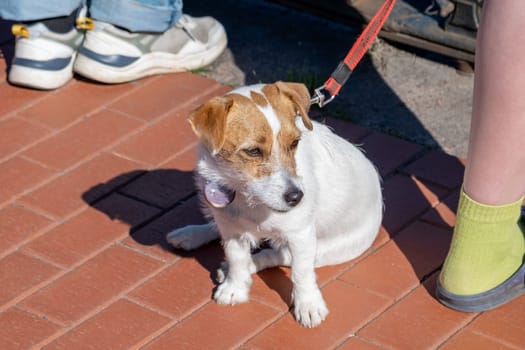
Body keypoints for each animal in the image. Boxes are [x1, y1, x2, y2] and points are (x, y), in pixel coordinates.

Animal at [167, 82, 380, 328]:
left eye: (295, 143)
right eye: (253, 151)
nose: (297, 197)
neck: (248, 197)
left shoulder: (301, 235)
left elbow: (301, 272)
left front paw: (308, 305)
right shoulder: (232, 230)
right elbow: (236, 258)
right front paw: (234, 289)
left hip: (329, 249)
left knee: (277, 256)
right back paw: (191, 235)